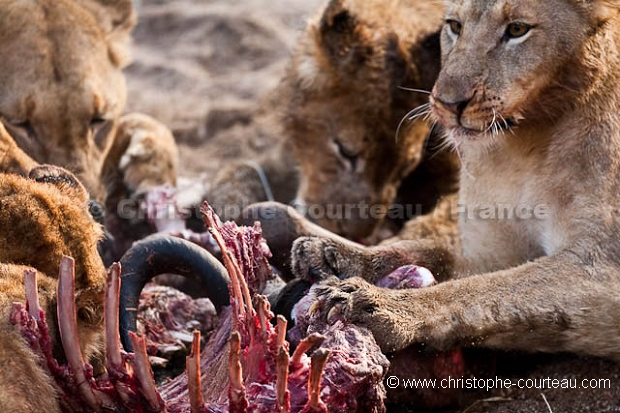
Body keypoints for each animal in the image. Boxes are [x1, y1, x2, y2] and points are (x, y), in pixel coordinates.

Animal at [260, 0, 620, 358]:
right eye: (455, 26)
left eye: (517, 29)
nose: (448, 103)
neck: (526, 144)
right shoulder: (497, 250)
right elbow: (435, 254)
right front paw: (335, 255)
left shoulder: (599, 268)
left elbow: (479, 290)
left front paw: (377, 304)